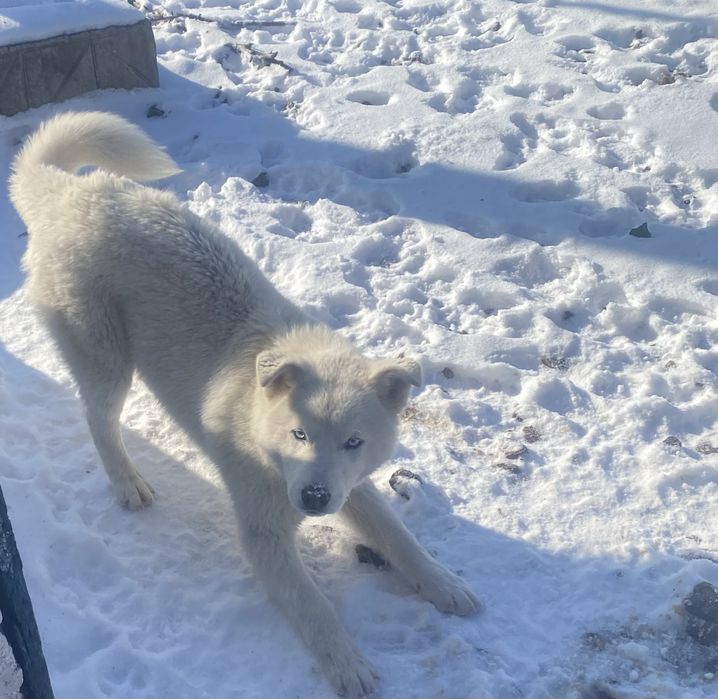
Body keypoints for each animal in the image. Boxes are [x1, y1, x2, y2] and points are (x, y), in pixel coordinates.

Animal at [9, 112, 479, 696]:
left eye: (354, 442)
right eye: (299, 434)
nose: (316, 499)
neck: (267, 446)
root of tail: (70, 194)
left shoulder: (353, 484)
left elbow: (399, 536)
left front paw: (446, 584)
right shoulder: (264, 535)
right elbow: (313, 606)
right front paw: (347, 665)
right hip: (105, 357)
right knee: (99, 420)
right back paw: (128, 484)